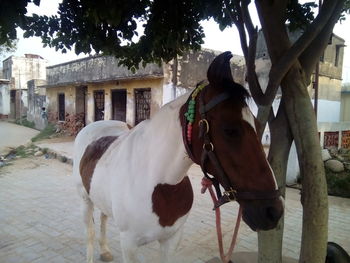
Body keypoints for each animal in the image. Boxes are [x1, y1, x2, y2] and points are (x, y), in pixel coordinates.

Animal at [74, 51, 284, 263]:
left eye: (258, 125)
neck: (157, 184)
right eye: (230, 130)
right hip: (84, 199)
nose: (273, 212)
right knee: (89, 231)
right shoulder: (129, 245)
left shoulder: (172, 239)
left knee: (103, 218)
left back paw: (105, 250)